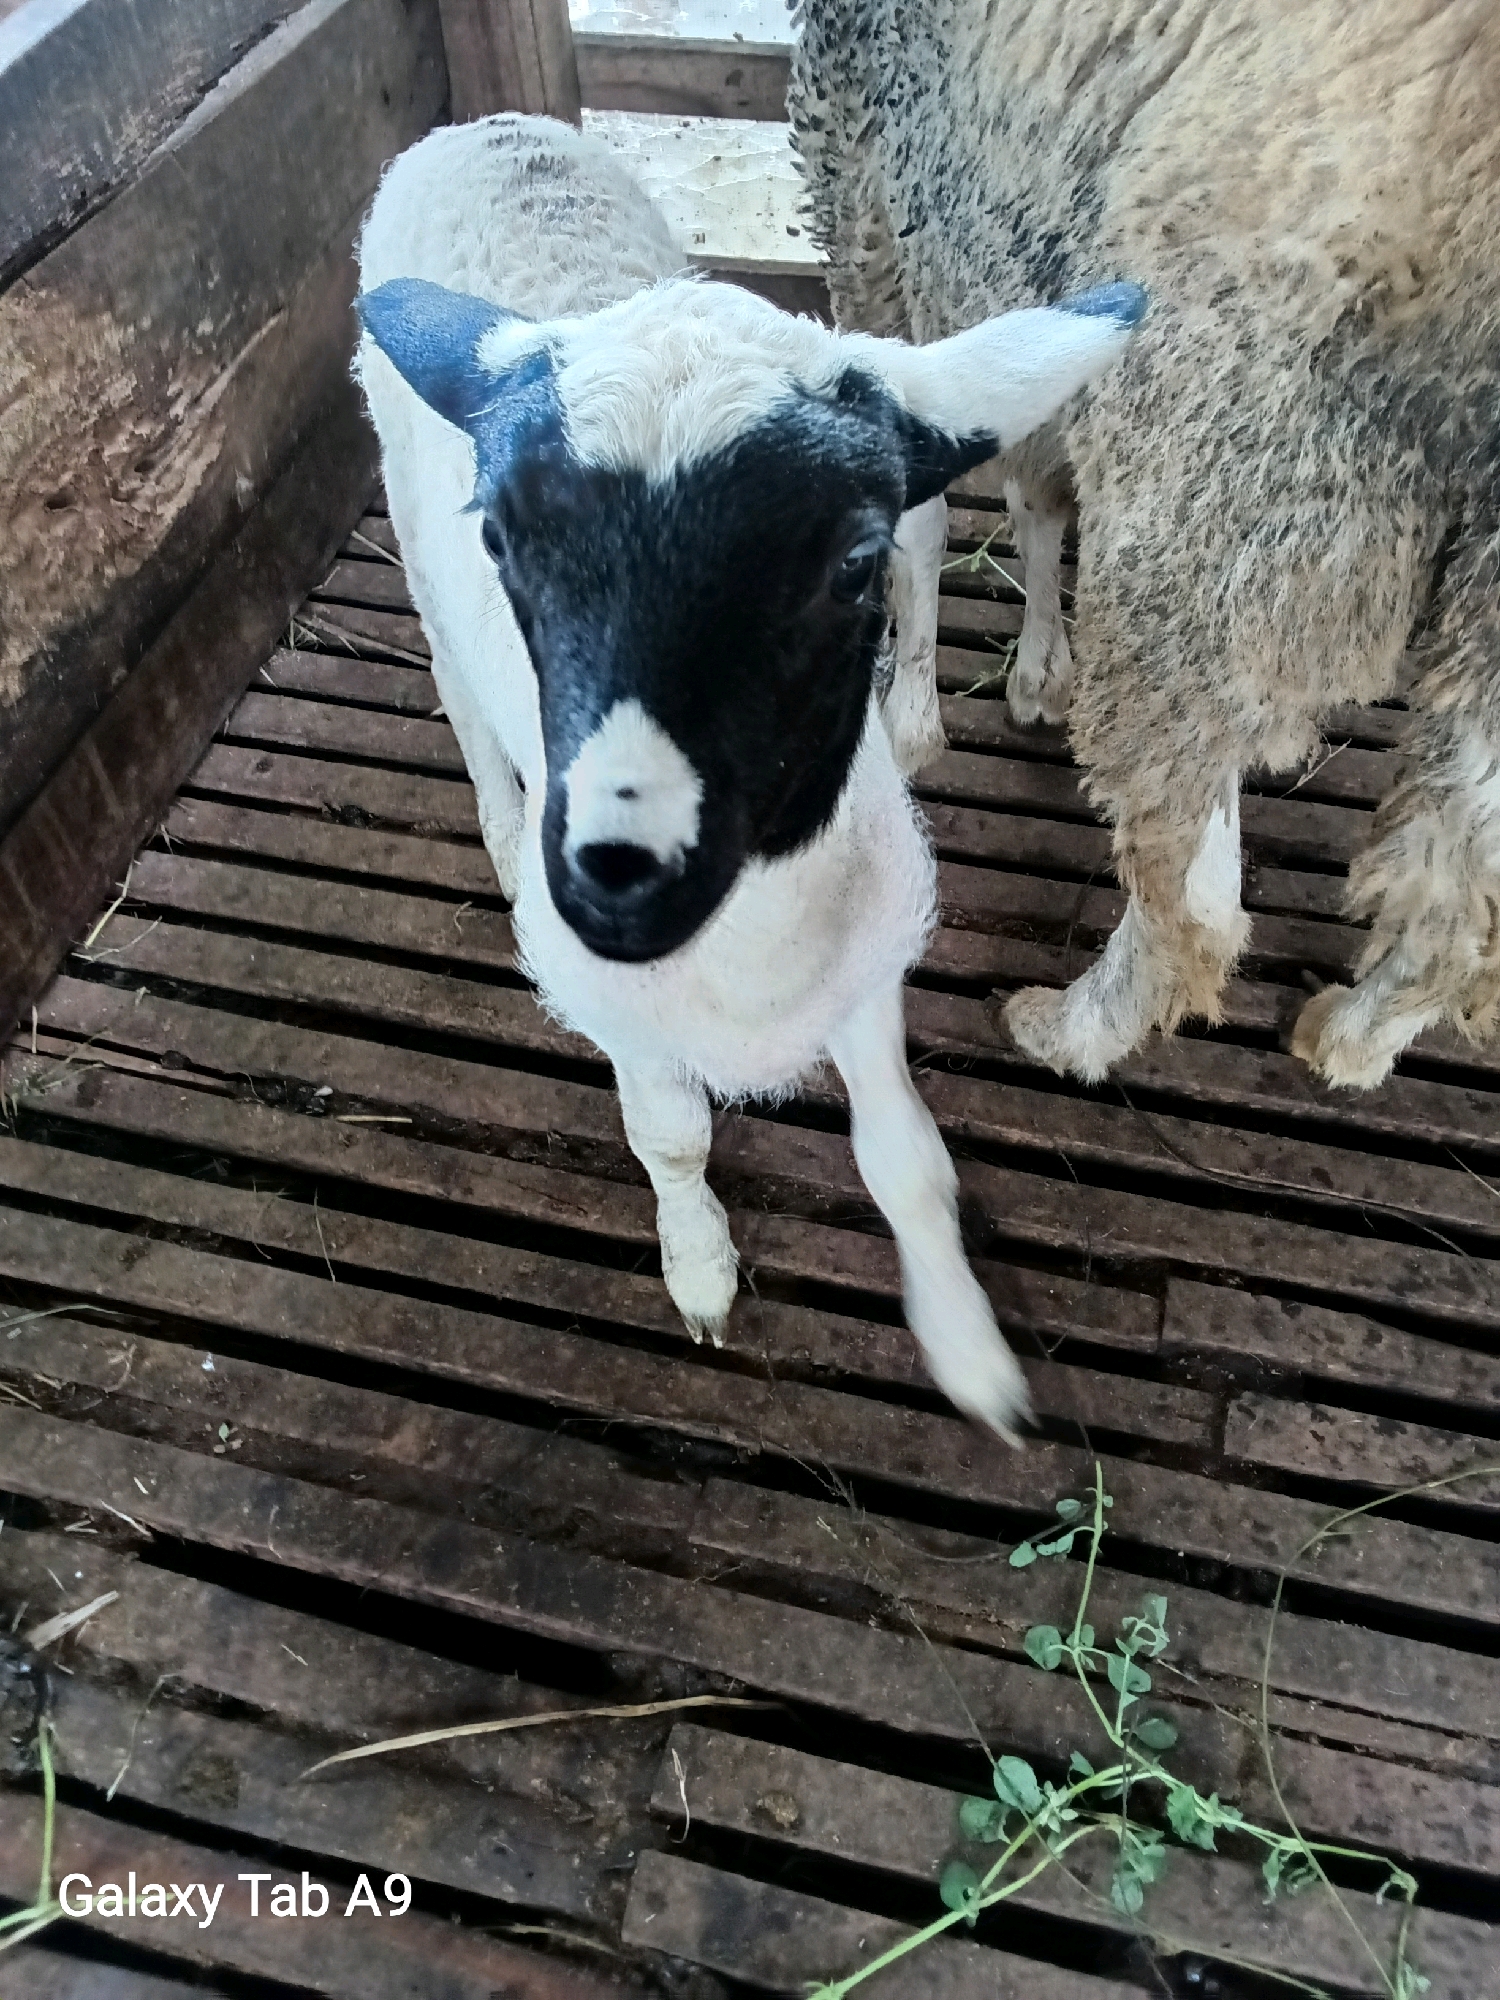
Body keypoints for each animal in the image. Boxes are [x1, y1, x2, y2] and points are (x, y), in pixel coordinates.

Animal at [352, 113, 1146, 1438]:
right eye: (504, 538)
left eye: (855, 561)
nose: (615, 875)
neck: (749, 939)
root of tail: (488, 126)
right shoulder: (623, 1014)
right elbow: (669, 1134)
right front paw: (702, 1268)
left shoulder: (867, 968)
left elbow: (907, 1163)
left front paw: (969, 1350)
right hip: (416, 554)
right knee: (460, 695)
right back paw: (504, 834)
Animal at [790, 0, 1500, 1089]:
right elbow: (1037, 494)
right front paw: (1037, 670)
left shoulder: (877, 224)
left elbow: (922, 519)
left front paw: (910, 714)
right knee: (1457, 901)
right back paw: (1351, 1039)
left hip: (1214, 477)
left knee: (1199, 897)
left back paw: (1071, 1030)